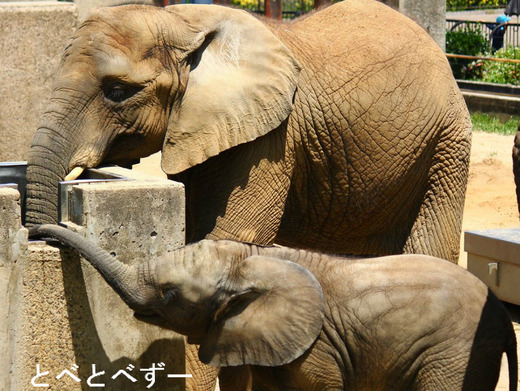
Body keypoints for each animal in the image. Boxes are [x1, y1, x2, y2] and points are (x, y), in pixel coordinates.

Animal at [24, 1, 472, 264]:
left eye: (117, 92)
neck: (181, 21)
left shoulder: (271, 138)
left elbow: (224, 241)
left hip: (447, 146)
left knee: (429, 251)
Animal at [31, 225, 516, 390]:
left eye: (170, 295)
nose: (39, 231)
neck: (249, 260)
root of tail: (501, 316)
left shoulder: (318, 349)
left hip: (452, 354)